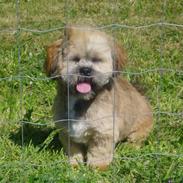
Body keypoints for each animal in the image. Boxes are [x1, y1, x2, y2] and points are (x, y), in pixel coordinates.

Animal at [44, 26, 153, 170]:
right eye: (75, 59)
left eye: (96, 60)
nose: (85, 70)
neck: (83, 100)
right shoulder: (66, 132)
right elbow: (74, 151)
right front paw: (74, 165)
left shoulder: (103, 133)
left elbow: (99, 152)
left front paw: (97, 168)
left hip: (139, 129)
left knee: (136, 140)